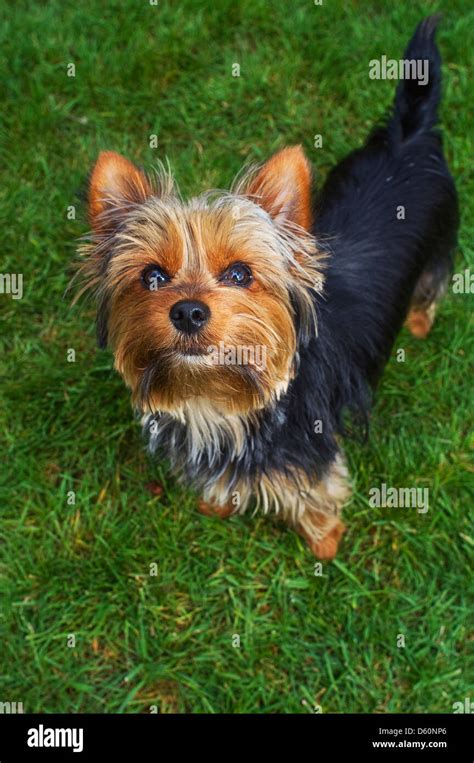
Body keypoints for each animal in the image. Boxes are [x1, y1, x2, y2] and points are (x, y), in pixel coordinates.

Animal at [76, 13, 458, 560]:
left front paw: (325, 543)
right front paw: (216, 504)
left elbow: (317, 493)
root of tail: (411, 133)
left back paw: (421, 322)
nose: (188, 311)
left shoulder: (312, 451)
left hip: (442, 241)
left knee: (433, 284)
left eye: (240, 274)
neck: (218, 401)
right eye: (153, 277)